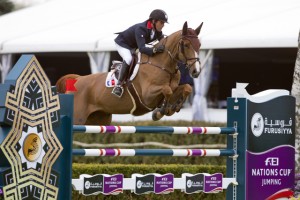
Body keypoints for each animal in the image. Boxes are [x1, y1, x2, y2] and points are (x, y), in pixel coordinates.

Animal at [55, 21, 203, 125]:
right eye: (186, 45)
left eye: (199, 45)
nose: (196, 71)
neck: (163, 65)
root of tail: (77, 80)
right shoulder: (148, 96)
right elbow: (167, 90)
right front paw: (159, 113)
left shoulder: (171, 90)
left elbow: (186, 88)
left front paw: (173, 108)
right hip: (78, 118)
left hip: (98, 119)